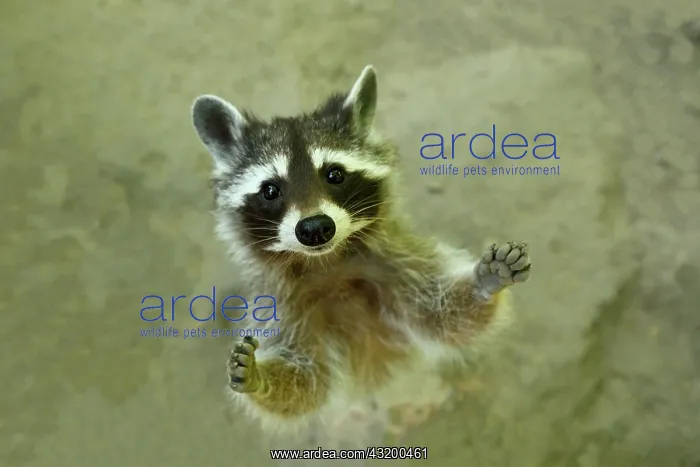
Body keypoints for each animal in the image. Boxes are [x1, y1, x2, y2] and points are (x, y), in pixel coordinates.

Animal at [190, 65, 532, 434]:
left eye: (334, 174)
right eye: (270, 190)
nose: (314, 228)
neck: (327, 262)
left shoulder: (398, 263)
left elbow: (440, 315)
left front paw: (484, 283)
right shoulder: (280, 303)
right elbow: (308, 381)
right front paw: (261, 379)